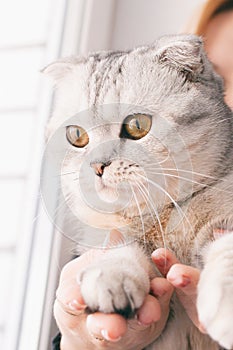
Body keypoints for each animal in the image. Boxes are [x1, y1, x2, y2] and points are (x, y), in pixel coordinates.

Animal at [43, 36, 233, 350]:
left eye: (137, 125)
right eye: (76, 135)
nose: (97, 165)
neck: (162, 217)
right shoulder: (109, 237)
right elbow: (122, 248)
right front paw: (111, 275)